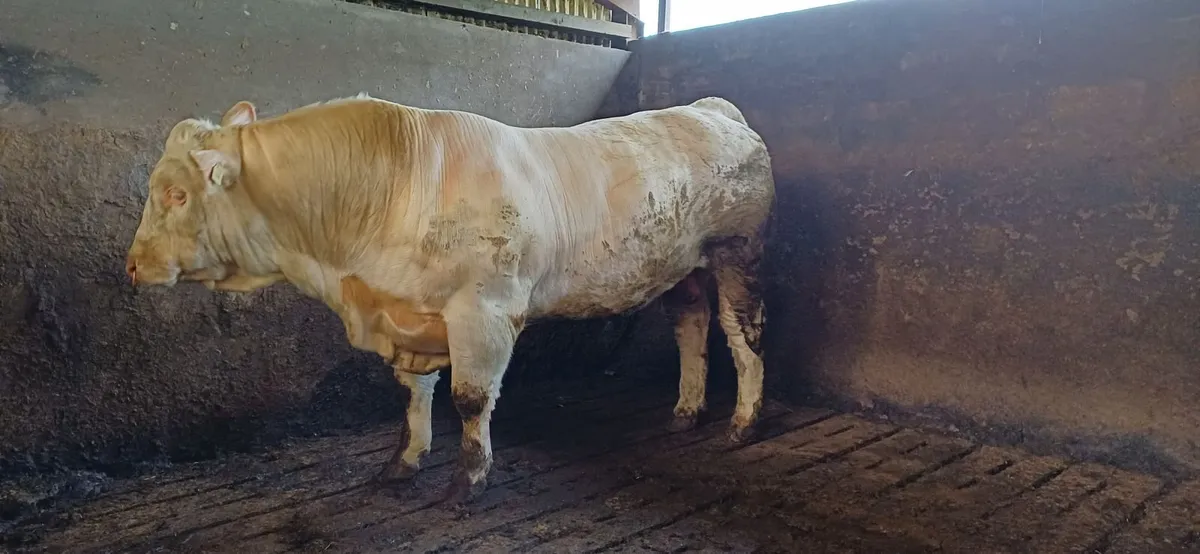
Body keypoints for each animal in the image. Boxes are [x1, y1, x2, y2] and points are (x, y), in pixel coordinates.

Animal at [124, 93, 776, 502]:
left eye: (177, 194)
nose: (133, 265)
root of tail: (709, 108)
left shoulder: (483, 312)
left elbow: (468, 399)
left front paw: (469, 481)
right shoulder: (407, 314)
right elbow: (414, 396)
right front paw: (402, 464)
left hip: (738, 251)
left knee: (743, 331)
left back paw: (742, 423)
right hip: (683, 266)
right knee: (691, 325)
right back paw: (686, 410)